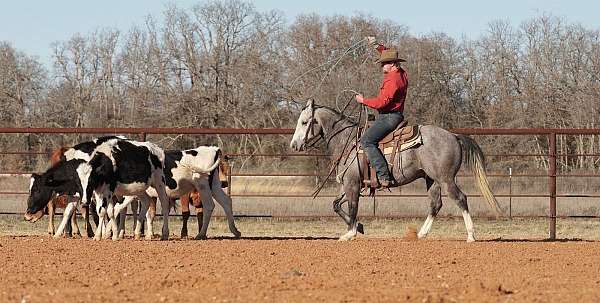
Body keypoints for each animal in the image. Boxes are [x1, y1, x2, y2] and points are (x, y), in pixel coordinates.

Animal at [290, 100, 502, 242]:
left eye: (304, 122)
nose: (294, 145)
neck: (347, 141)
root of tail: (454, 136)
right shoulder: (348, 184)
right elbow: (336, 205)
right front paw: (359, 227)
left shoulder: (352, 184)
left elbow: (352, 206)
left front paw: (350, 233)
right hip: (431, 179)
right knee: (435, 204)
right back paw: (421, 234)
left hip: (446, 179)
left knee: (460, 199)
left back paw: (471, 235)